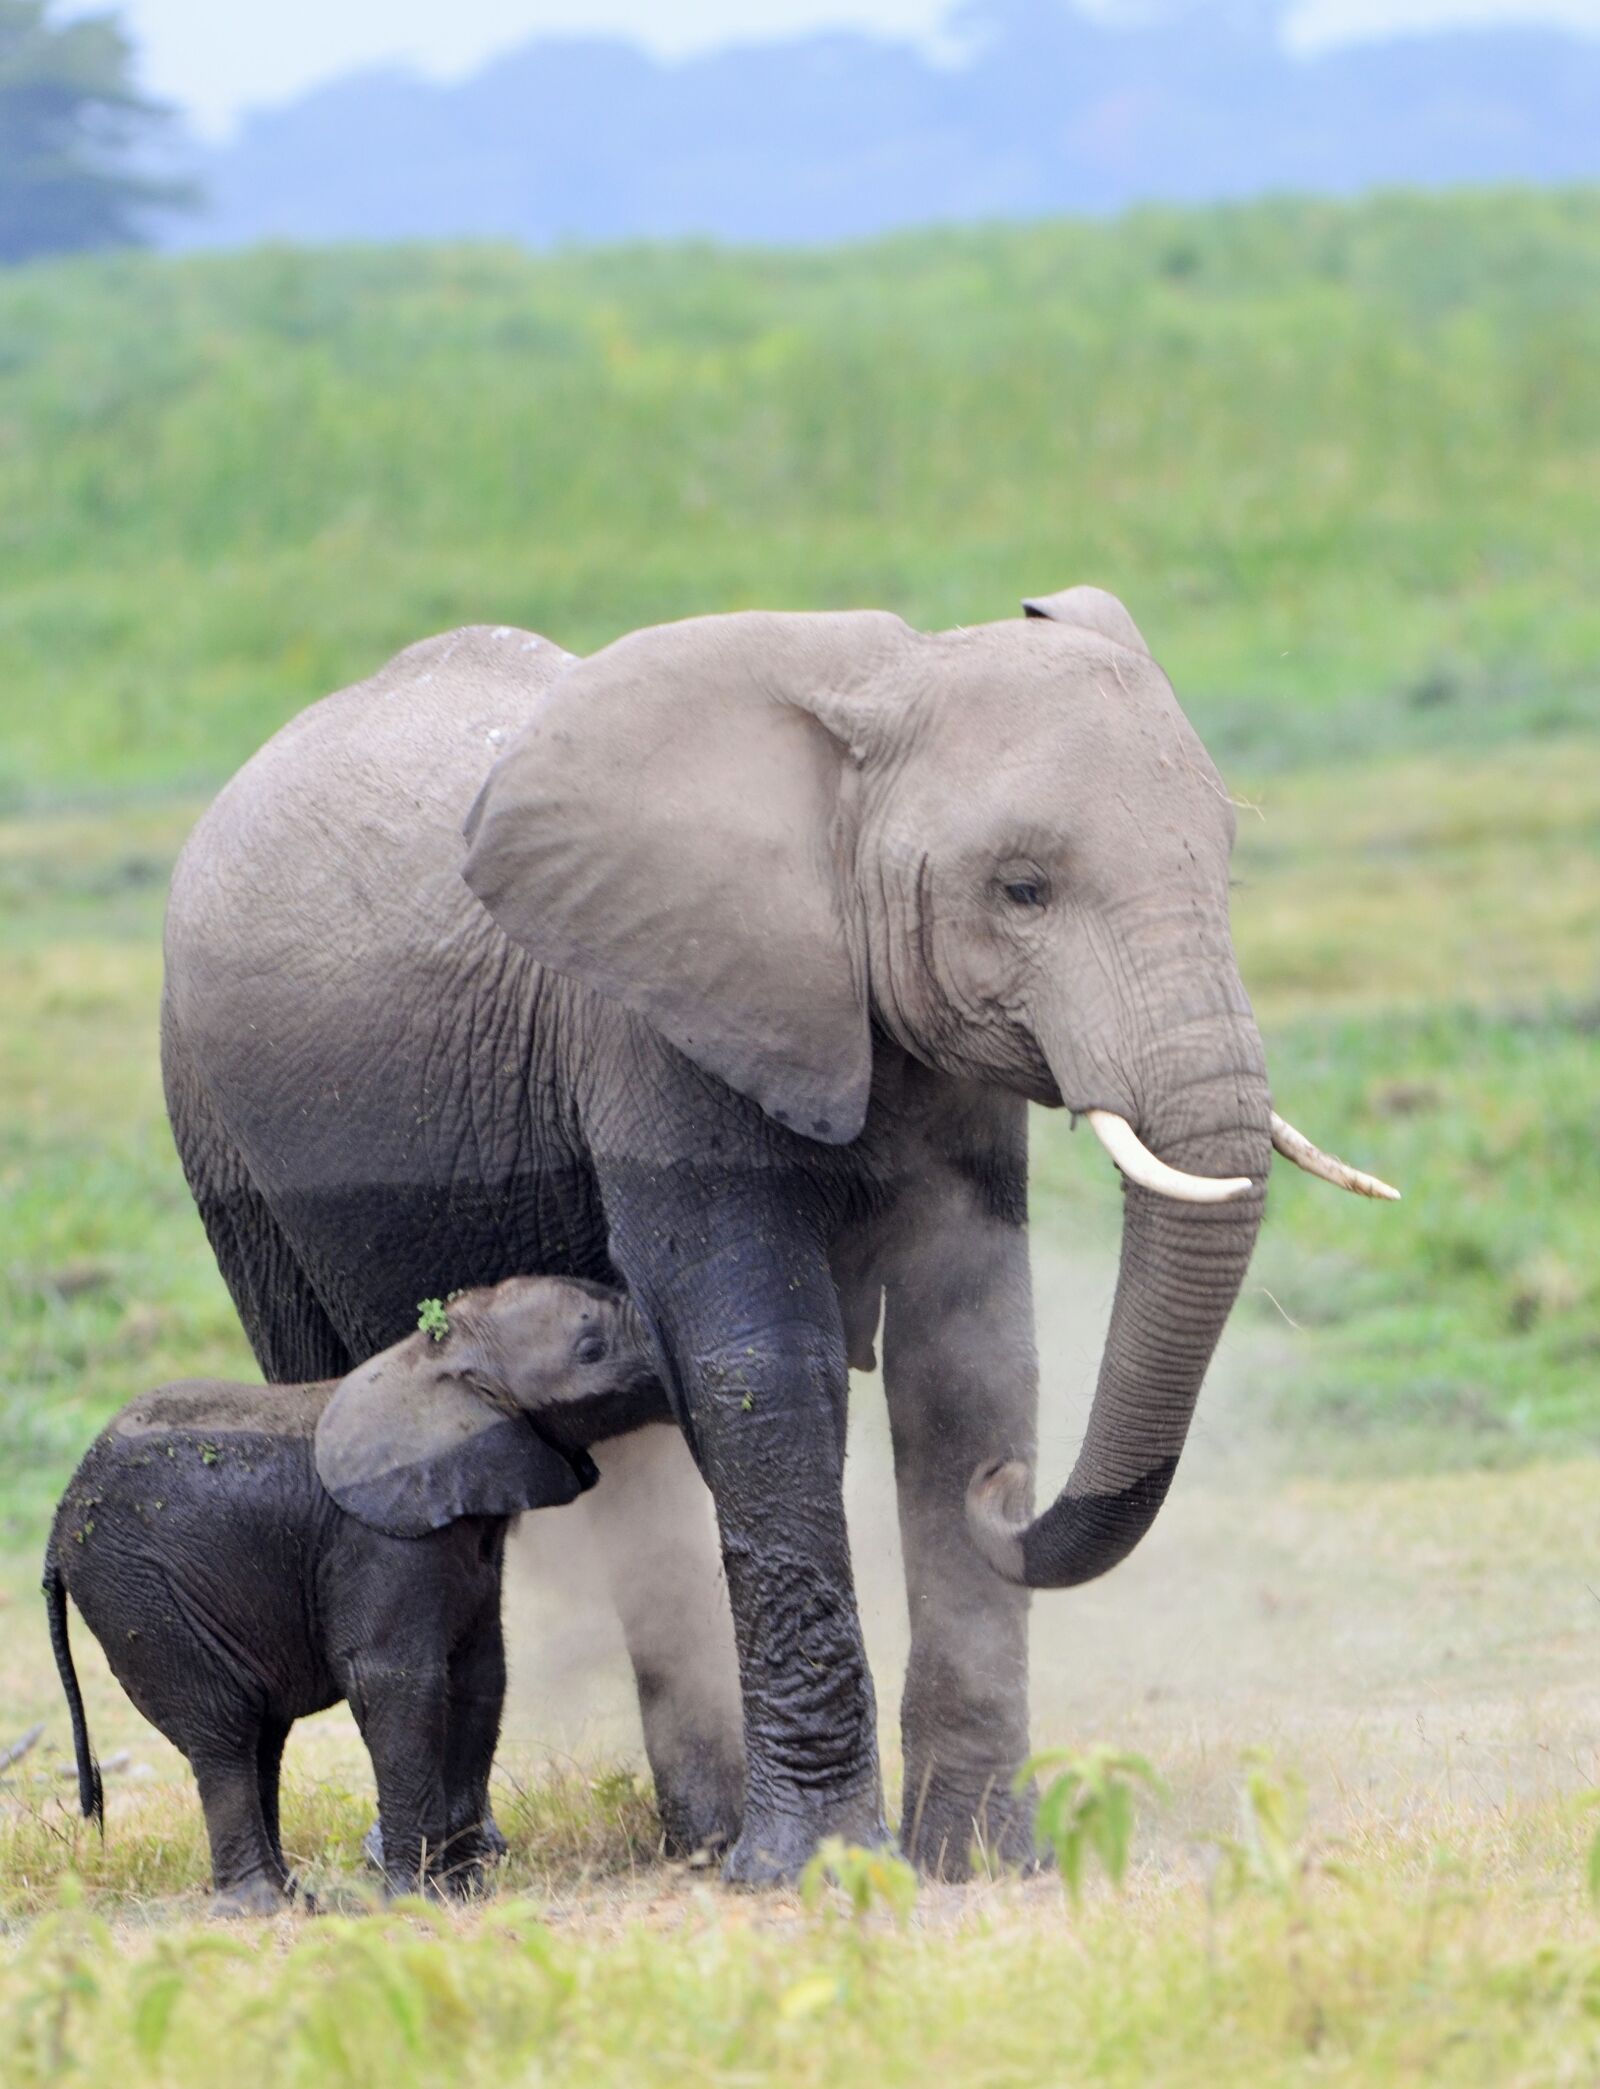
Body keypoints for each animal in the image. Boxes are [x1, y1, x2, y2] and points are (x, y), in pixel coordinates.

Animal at [44, 1275, 671, 1914]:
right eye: (591, 1349)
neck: (437, 1359)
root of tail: (61, 1516)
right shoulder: (377, 1541)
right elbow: (397, 1684)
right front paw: (416, 1900)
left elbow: (480, 1680)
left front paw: (466, 1892)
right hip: (136, 1588)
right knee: (223, 1726)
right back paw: (263, 1906)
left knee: (261, 1733)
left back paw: (299, 1901)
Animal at [160, 588, 1395, 1883]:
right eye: (1021, 889)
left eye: (1225, 863)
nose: (1010, 1497)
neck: (875, 691)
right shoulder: (654, 1018)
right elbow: (761, 1369)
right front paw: (818, 1869)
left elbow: (968, 1352)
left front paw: (977, 1862)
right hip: (220, 1126)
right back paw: (467, 1864)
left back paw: (695, 1837)